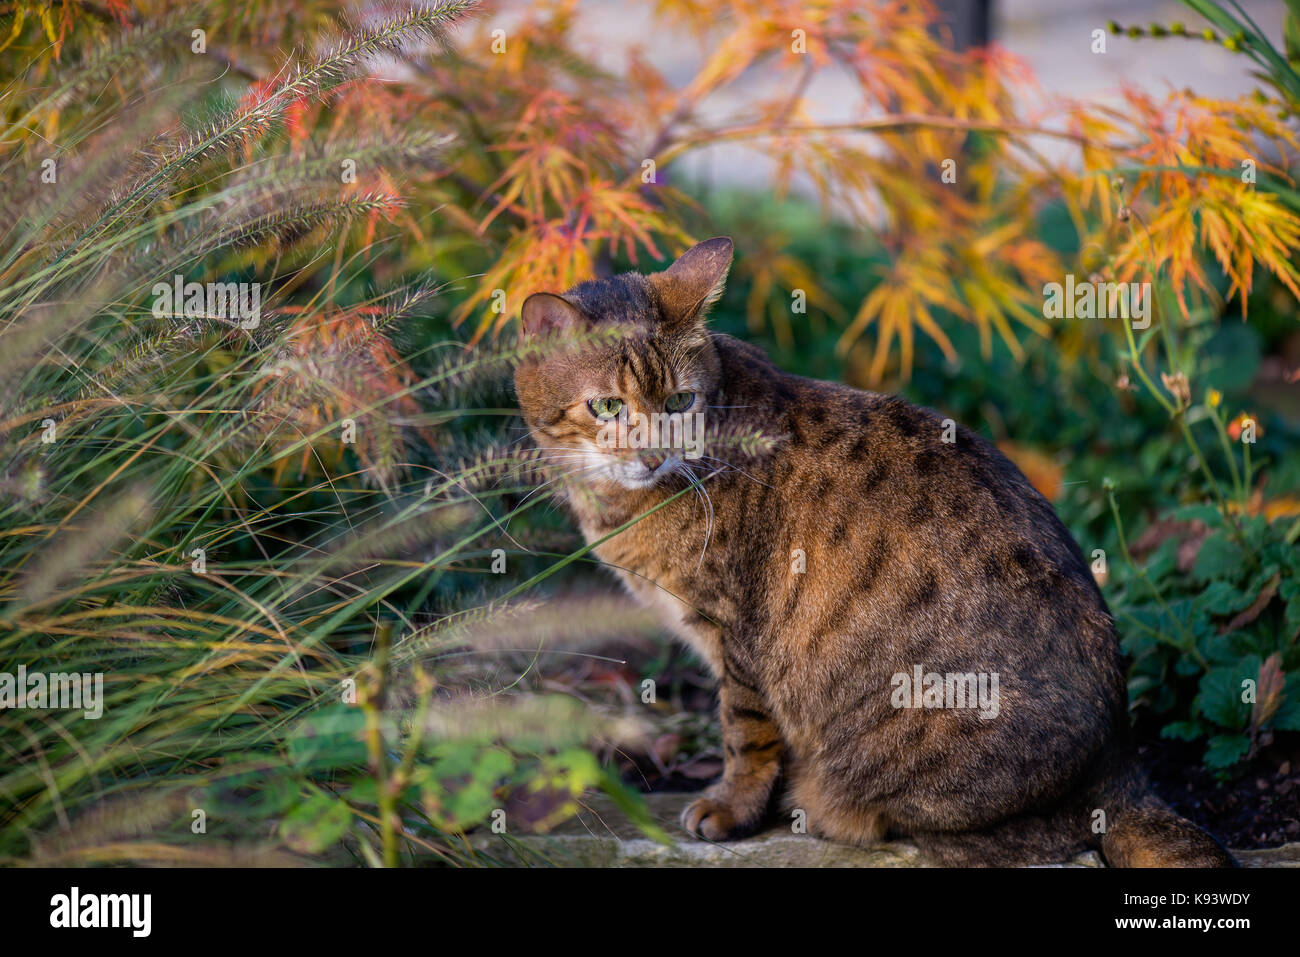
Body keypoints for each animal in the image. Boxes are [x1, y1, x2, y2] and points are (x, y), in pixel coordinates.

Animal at [512, 237, 1232, 868]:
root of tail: (1124, 764)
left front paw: (731, 806)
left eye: (680, 400)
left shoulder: (736, 637)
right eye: (607, 406)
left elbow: (744, 733)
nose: (653, 455)